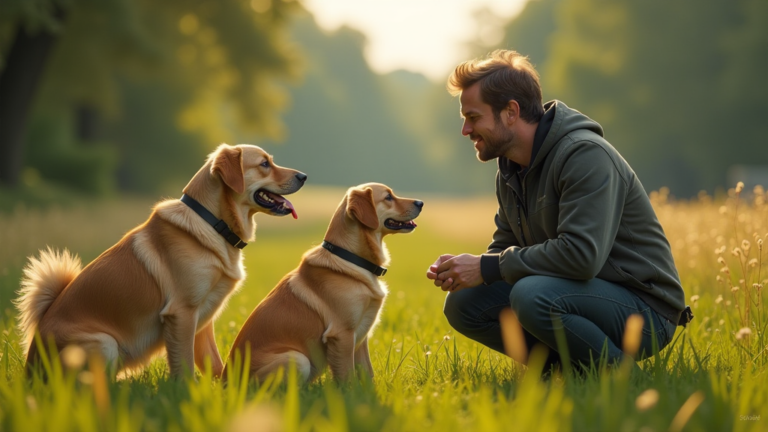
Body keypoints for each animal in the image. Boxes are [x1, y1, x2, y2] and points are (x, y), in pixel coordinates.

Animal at [16, 143, 304, 376]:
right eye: (264, 164)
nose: (304, 176)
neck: (212, 223)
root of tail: (29, 367)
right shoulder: (182, 313)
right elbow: (184, 368)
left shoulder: (204, 319)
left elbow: (214, 364)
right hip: (104, 343)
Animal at [225, 182, 424, 382]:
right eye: (388, 197)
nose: (420, 202)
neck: (350, 258)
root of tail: (226, 380)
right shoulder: (342, 334)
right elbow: (347, 376)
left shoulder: (361, 333)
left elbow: (367, 374)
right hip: (297, 359)